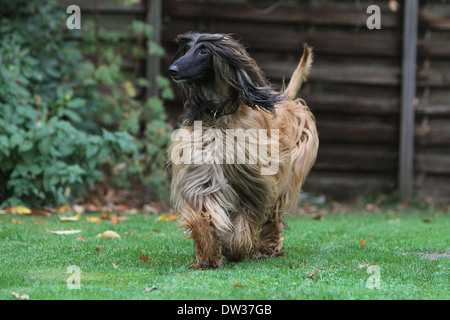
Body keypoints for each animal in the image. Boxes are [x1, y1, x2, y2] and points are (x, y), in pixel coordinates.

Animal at [167, 32, 318, 268]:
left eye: (204, 51)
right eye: (187, 48)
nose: (172, 70)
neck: (219, 116)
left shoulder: (253, 180)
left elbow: (246, 218)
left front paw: (235, 248)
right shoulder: (201, 172)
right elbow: (201, 213)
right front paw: (207, 254)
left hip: (289, 172)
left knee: (274, 214)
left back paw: (267, 247)